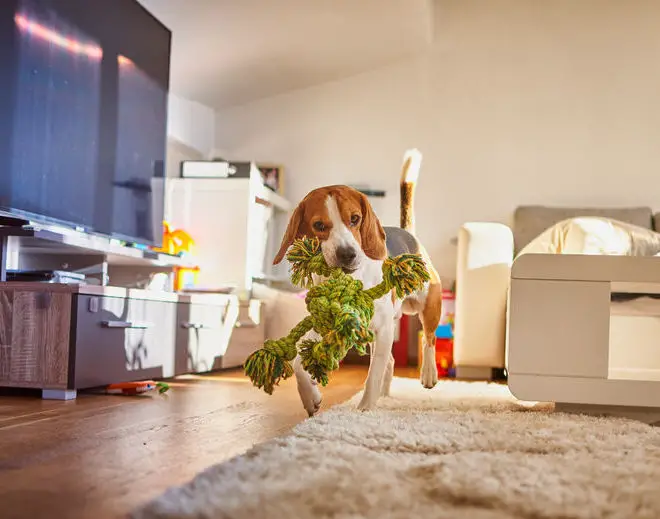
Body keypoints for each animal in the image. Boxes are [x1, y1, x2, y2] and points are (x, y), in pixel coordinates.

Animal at [274, 158, 444, 414]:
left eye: (355, 219)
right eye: (318, 225)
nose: (347, 254)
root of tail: (408, 234)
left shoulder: (383, 328)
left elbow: (372, 376)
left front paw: (364, 409)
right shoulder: (325, 325)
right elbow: (296, 364)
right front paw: (310, 397)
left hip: (427, 304)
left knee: (429, 339)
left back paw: (428, 373)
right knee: (390, 361)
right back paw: (385, 395)